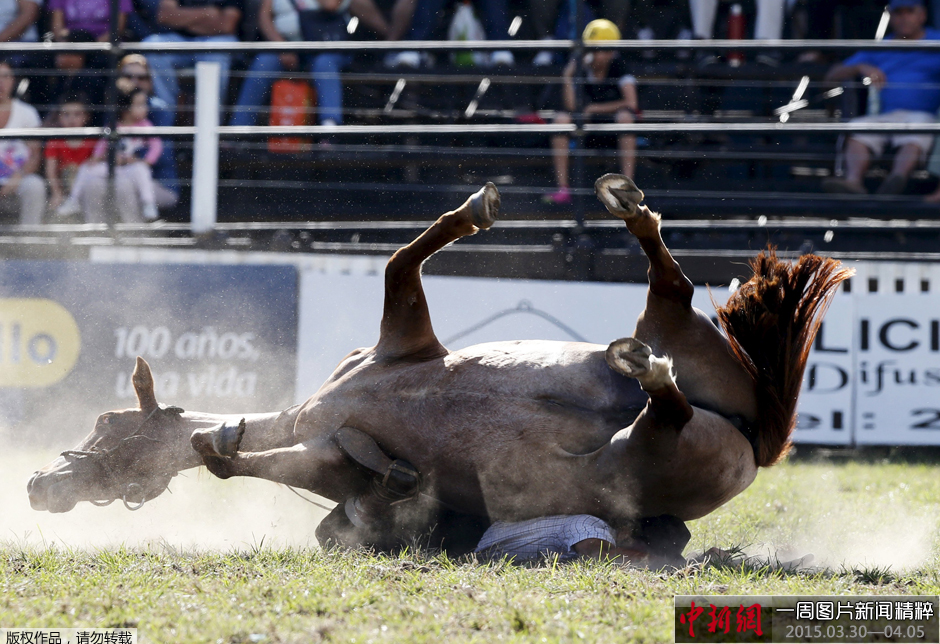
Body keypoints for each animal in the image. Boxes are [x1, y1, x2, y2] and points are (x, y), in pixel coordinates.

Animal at [29, 176, 852, 560]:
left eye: (105, 428)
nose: (42, 488)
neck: (308, 414)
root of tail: (756, 433)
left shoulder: (404, 337)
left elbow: (403, 256)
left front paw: (477, 210)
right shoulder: (336, 459)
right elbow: (246, 463)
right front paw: (220, 445)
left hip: (679, 343)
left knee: (668, 289)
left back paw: (625, 221)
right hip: (649, 441)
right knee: (667, 385)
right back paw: (643, 363)